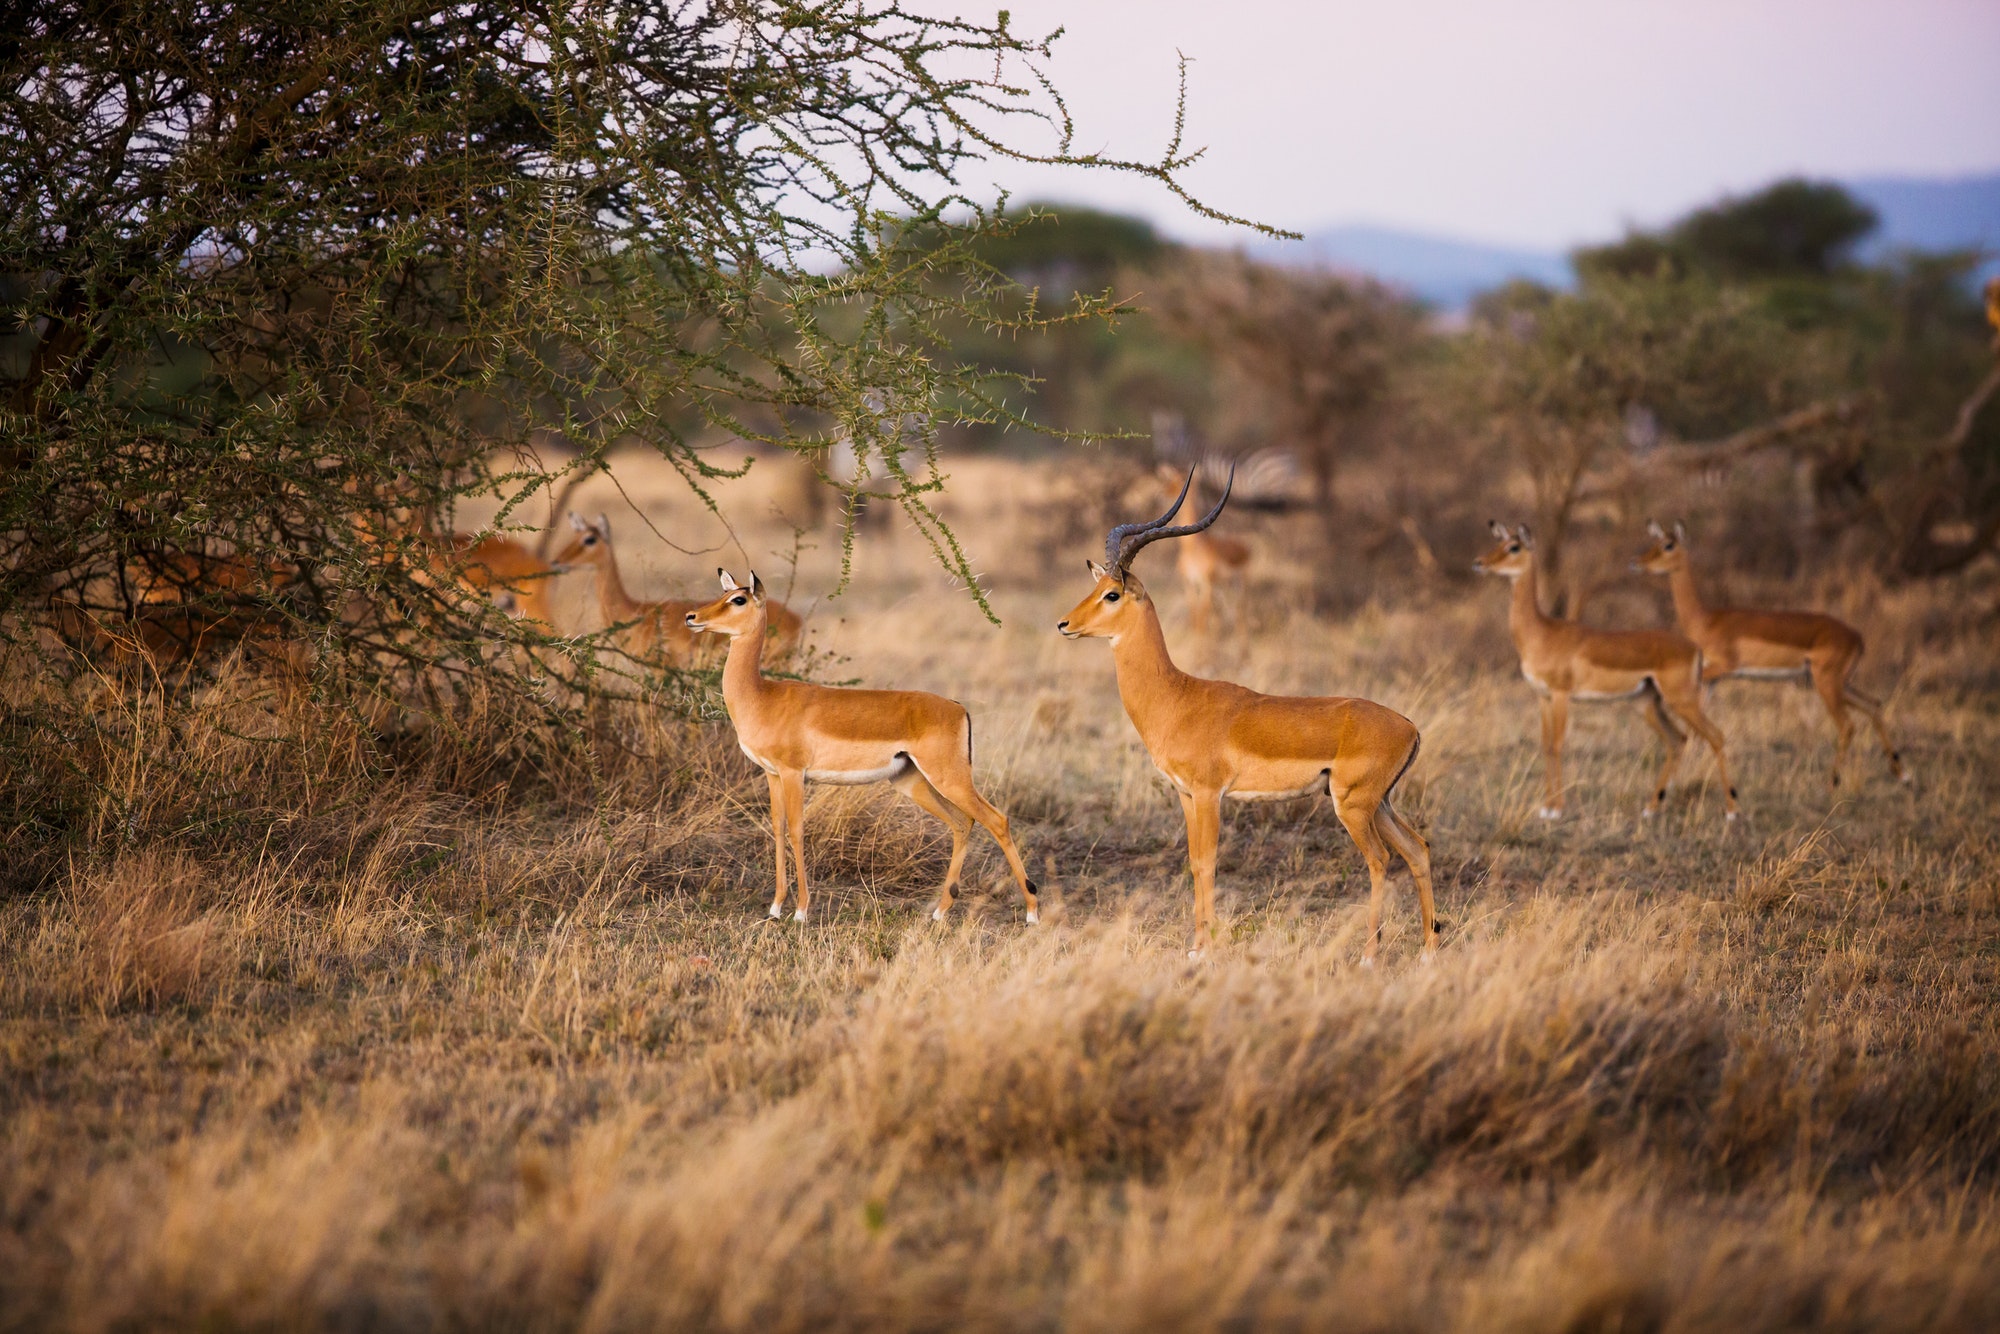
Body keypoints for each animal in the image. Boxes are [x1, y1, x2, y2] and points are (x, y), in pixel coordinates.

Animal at [688, 568, 1040, 924]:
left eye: (738, 599)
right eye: (723, 594)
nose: (692, 617)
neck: (762, 696)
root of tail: (958, 708)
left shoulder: (793, 773)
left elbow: (797, 830)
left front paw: (801, 911)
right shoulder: (772, 774)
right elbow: (777, 827)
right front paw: (775, 907)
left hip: (949, 778)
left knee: (997, 820)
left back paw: (1032, 912)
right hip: (912, 782)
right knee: (962, 823)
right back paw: (940, 912)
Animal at [1056, 468, 1432, 960]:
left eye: (1113, 594)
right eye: (1095, 588)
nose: (1064, 624)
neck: (1177, 697)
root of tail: (1410, 726)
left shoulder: (1210, 794)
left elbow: (1208, 862)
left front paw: (1204, 949)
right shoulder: (1185, 794)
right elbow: (1194, 862)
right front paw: (1195, 946)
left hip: (1352, 806)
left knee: (1381, 860)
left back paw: (1370, 955)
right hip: (1380, 803)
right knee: (1418, 848)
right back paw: (1430, 949)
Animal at [1472, 520, 1736, 824]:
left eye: (1514, 547)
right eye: (1498, 543)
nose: (1479, 563)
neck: (1541, 633)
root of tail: (1694, 647)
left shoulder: (1561, 695)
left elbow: (1558, 745)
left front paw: (1557, 809)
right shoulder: (1543, 697)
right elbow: (1546, 745)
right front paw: (1546, 807)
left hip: (1682, 700)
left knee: (1716, 736)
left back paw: (1732, 811)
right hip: (1647, 704)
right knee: (1678, 740)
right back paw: (1651, 808)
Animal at [1640, 520, 1904, 792]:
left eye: (1668, 545)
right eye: (1653, 542)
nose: (1639, 562)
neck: (1705, 620)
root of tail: (1857, 637)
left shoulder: (1721, 668)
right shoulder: (1713, 679)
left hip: (1828, 684)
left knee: (1848, 725)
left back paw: (1832, 784)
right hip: (1836, 683)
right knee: (1874, 705)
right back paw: (1900, 773)